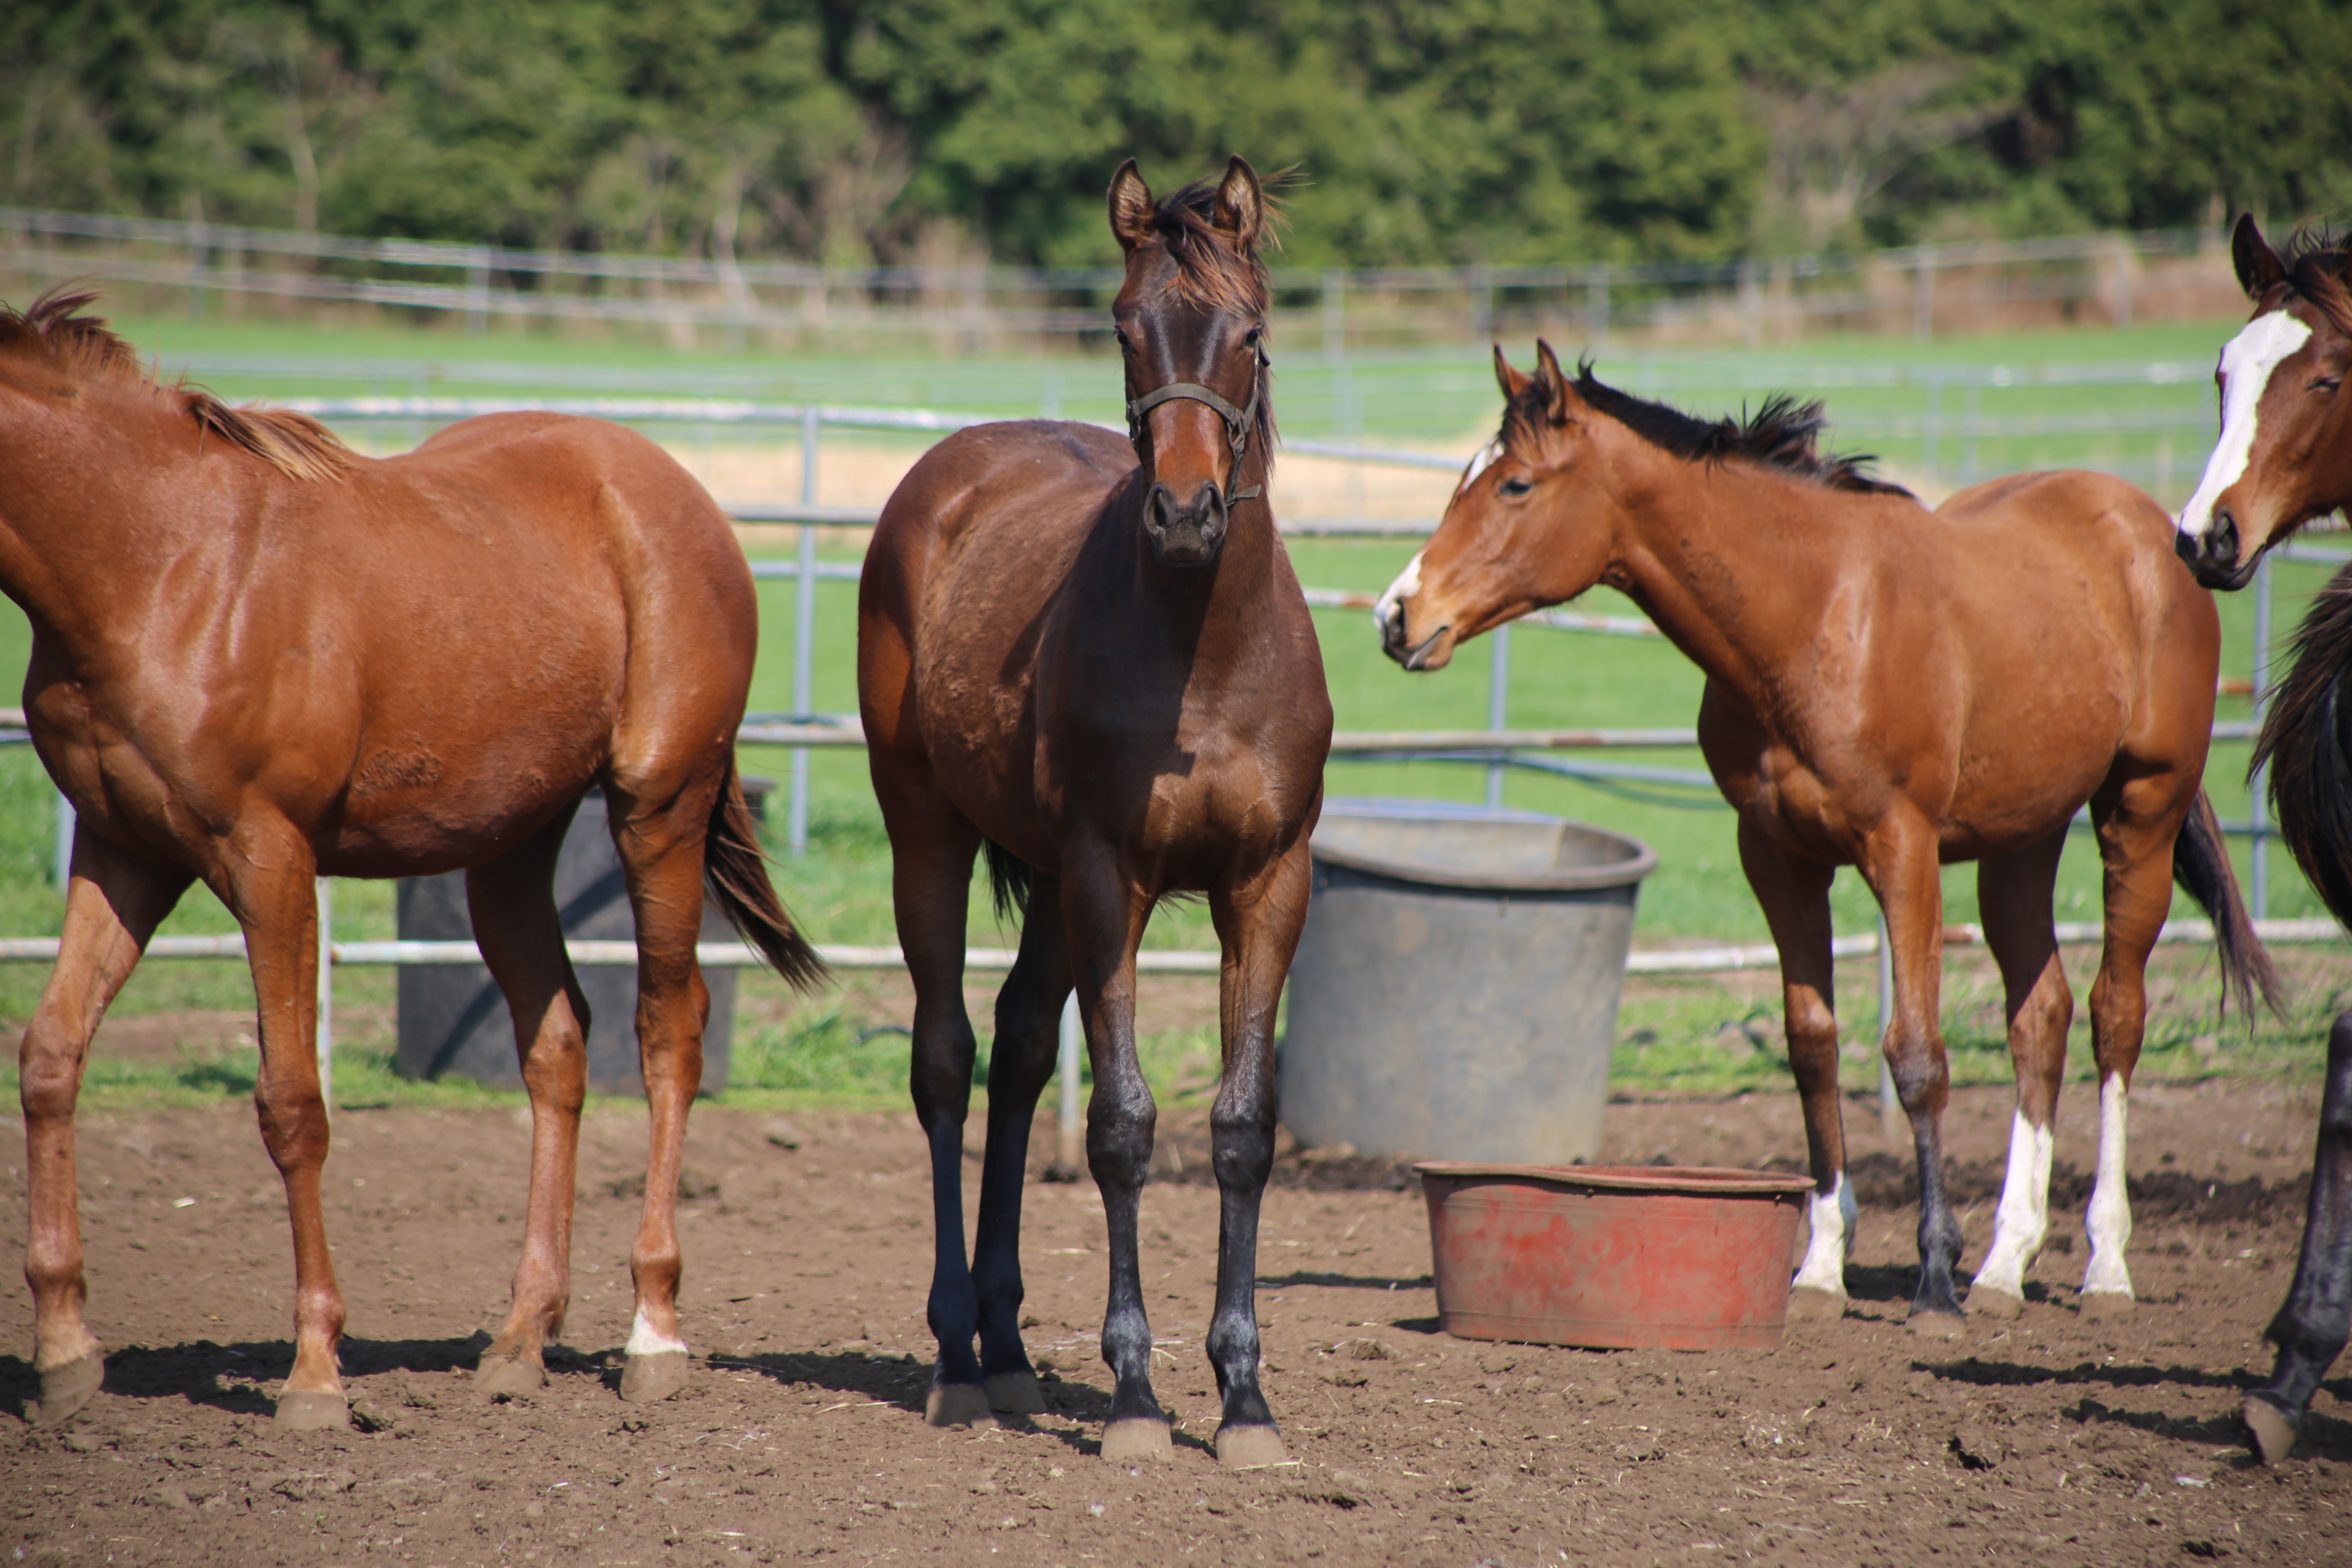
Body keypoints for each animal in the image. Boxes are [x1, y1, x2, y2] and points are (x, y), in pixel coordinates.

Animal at [0, 291, 823, 1439]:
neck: (155, 561)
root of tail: (674, 491)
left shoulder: (266, 855)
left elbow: (292, 1104)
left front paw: (314, 1371)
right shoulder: (124, 849)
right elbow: (50, 1057)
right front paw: (67, 1353)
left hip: (659, 807)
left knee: (669, 1031)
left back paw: (652, 1333)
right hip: (511, 848)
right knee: (558, 1044)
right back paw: (520, 1339)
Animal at [861, 156, 1345, 1457]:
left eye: (1250, 331)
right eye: (1129, 327)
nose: (1184, 515)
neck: (1204, 658)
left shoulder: (1267, 886)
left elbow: (1240, 1125)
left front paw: (1243, 1397)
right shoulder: (1105, 878)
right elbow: (1122, 1124)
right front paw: (1133, 1394)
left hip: (1042, 888)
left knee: (1022, 1055)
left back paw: (1010, 1348)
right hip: (928, 839)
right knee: (946, 1061)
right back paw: (956, 1355)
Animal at [1373, 343, 2276, 1335]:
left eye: (1516, 485)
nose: (1397, 616)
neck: (1813, 617)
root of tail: (2156, 532)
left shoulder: (1902, 850)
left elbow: (1915, 1057)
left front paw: (1931, 1279)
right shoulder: (1778, 859)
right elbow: (1812, 1047)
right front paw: (1820, 1266)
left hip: (2141, 813)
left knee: (2118, 1017)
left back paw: (2102, 1264)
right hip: (2022, 841)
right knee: (2040, 1016)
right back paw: (2005, 1264)